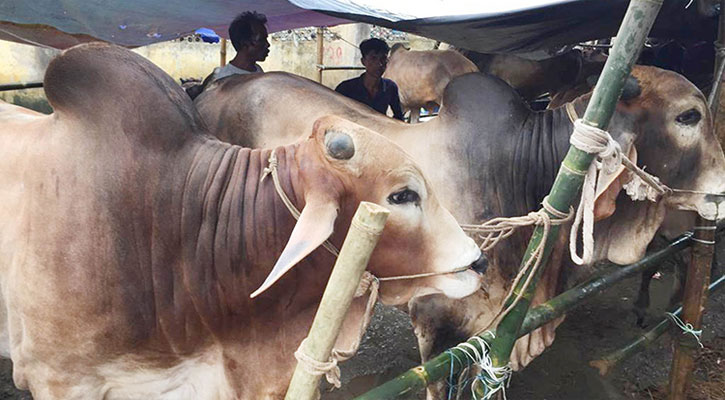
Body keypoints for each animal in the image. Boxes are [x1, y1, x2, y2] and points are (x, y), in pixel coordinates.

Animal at [195, 69, 724, 396]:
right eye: (688, 116)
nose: (721, 192)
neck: (518, 168)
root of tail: (216, 87)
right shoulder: (436, 321)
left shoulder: (491, 326)